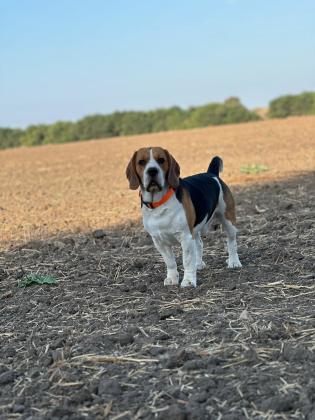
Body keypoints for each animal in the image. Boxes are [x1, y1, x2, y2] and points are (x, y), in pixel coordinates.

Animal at [126, 146, 242, 288]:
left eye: (161, 160)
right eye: (141, 162)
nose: (152, 171)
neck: (160, 203)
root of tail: (211, 174)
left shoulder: (185, 237)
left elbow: (187, 261)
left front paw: (188, 281)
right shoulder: (159, 241)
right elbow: (170, 262)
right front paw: (172, 278)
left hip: (228, 220)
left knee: (231, 241)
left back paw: (234, 262)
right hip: (194, 230)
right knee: (199, 244)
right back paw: (198, 264)